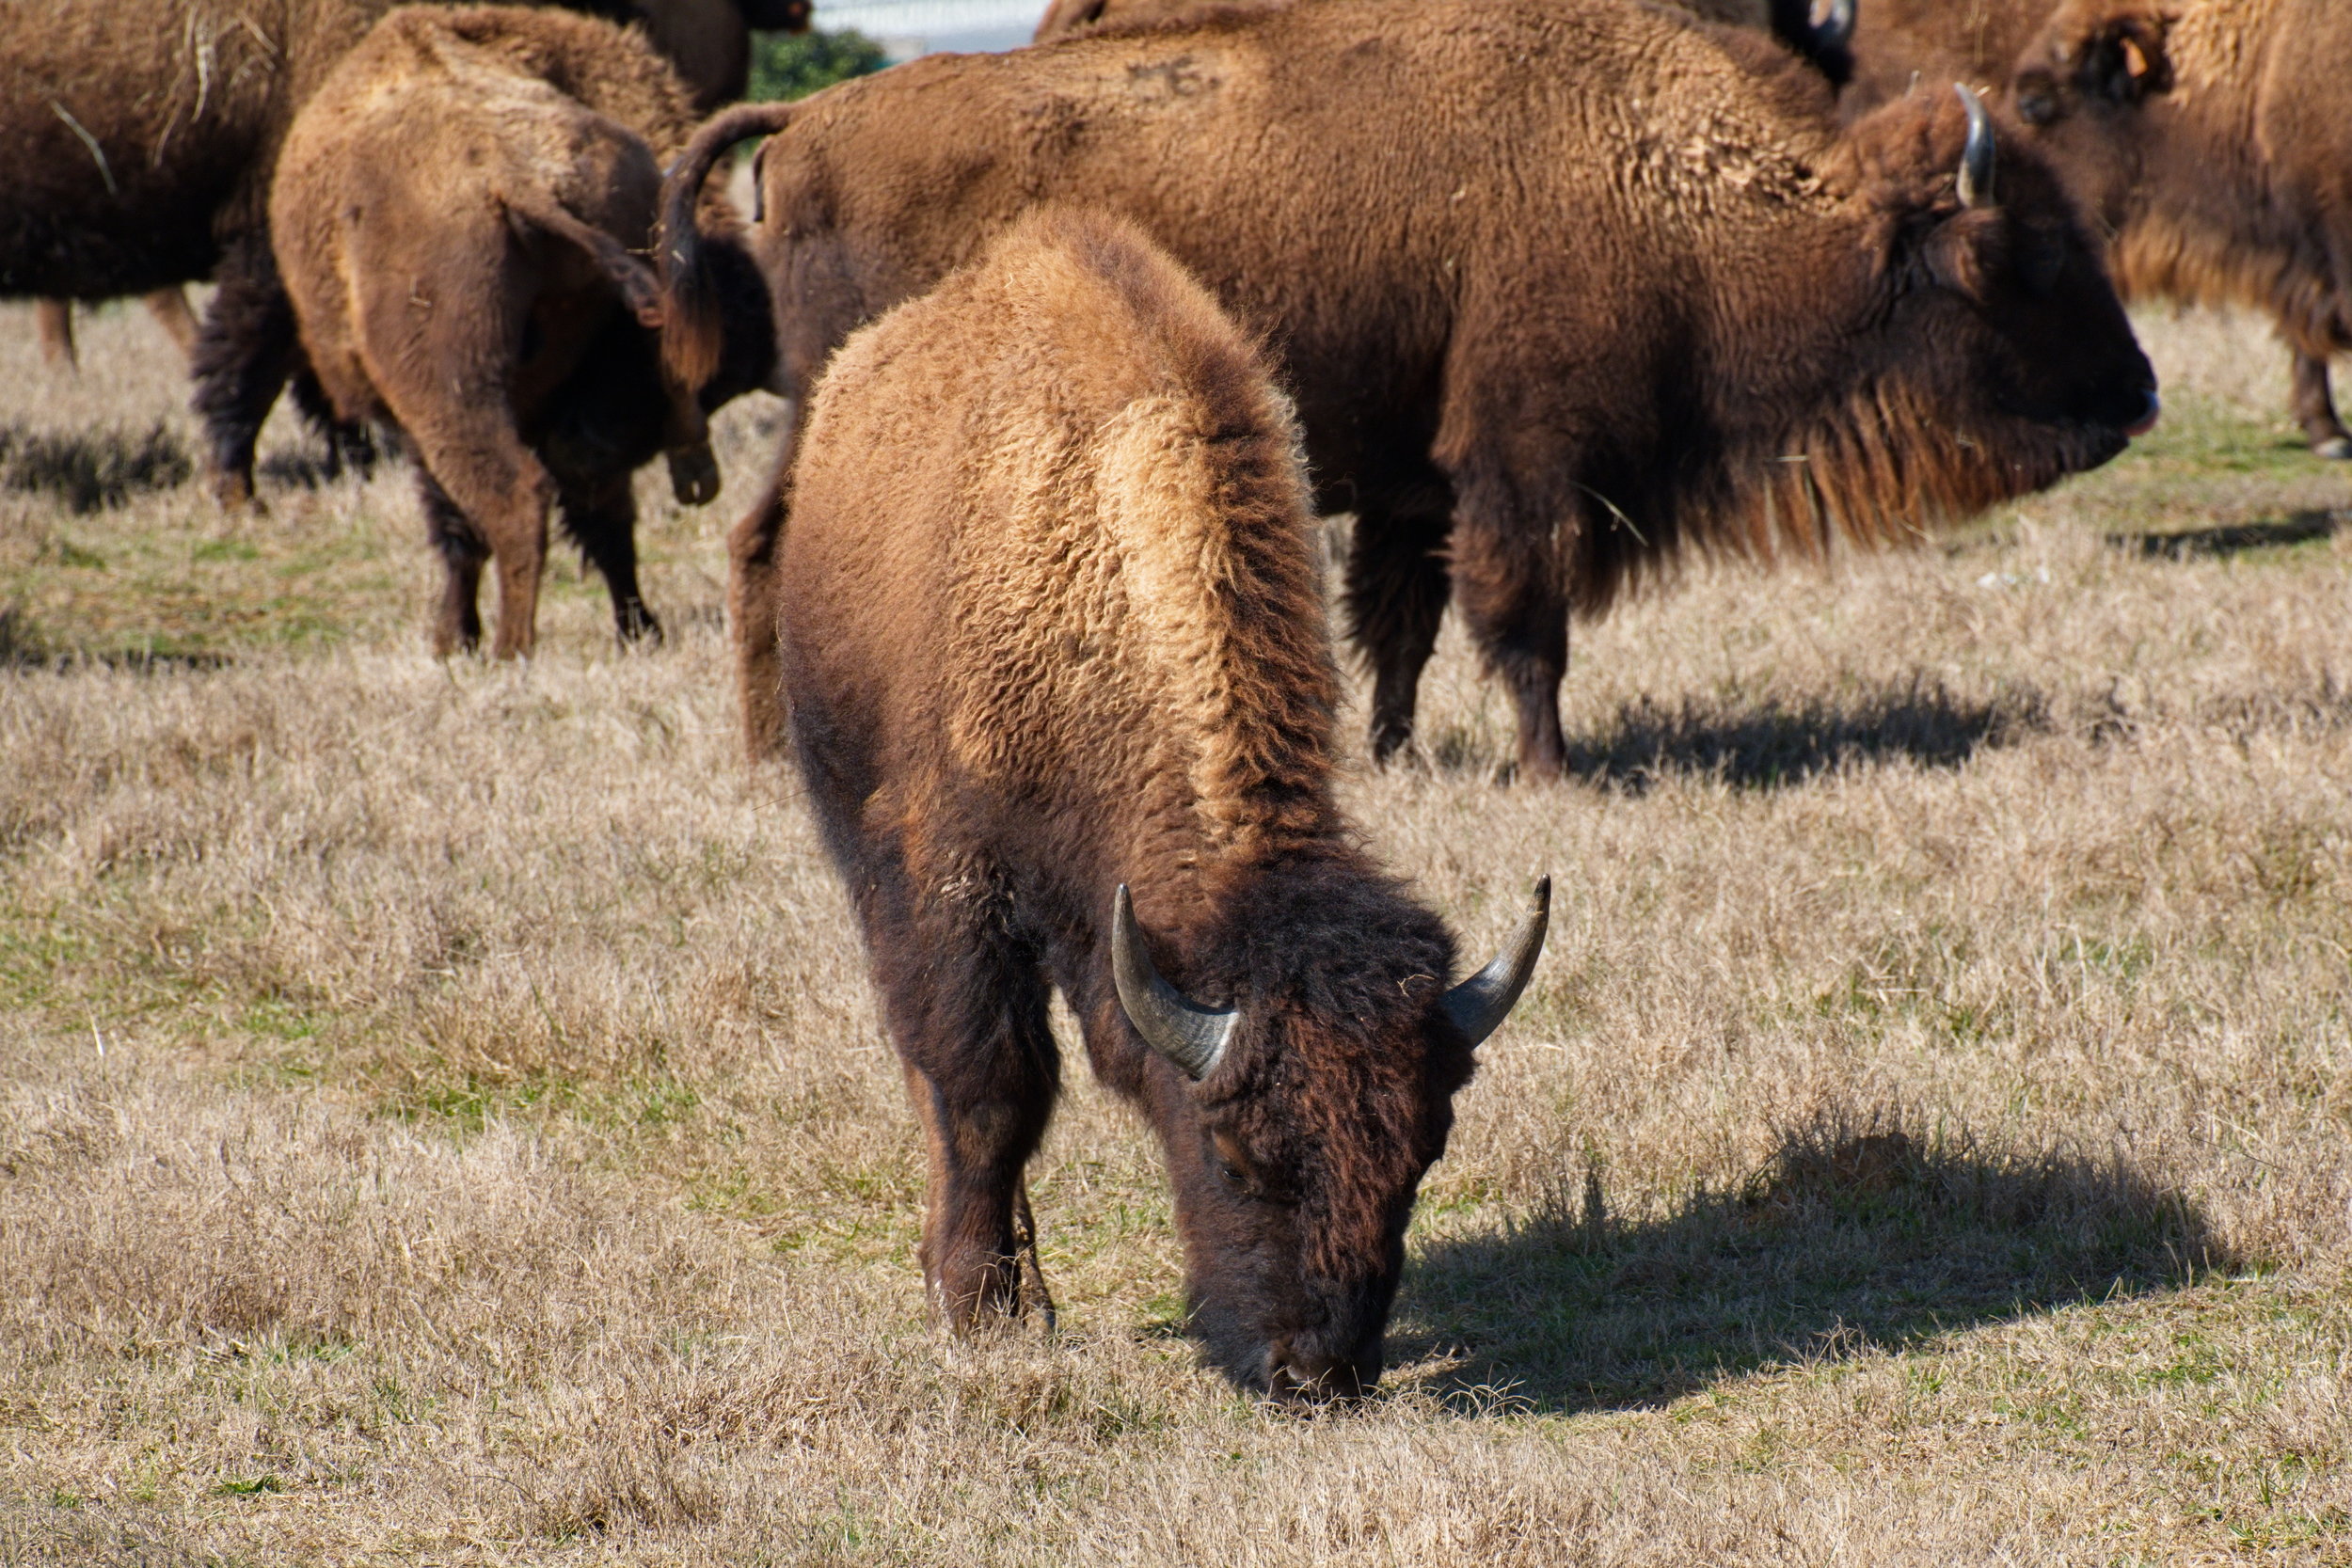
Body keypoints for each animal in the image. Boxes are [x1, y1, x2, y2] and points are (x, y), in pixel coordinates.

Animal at [271, 6, 771, 657]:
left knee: (513, 498)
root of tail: (514, 173)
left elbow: (456, 527)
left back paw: (511, 647)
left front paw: (452, 639)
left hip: (451, 397)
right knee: (599, 509)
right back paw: (636, 629)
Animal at [673, 0, 2154, 780]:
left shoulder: (1415, 485)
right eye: (2018, 254)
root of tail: (806, 126)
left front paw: (1387, 754)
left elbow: (1401, 625)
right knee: (772, 549)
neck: (1670, 184)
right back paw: (775, 756)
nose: (2140, 397)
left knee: (757, 545)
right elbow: (1525, 622)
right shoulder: (1522, 464)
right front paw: (1553, 770)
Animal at [786, 205, 1543, 1401]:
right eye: (1231, 1153)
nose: (1316, 1370)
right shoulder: (954, 881)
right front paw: (980, 1310)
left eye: (1422, 1155)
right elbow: (988, 1089)